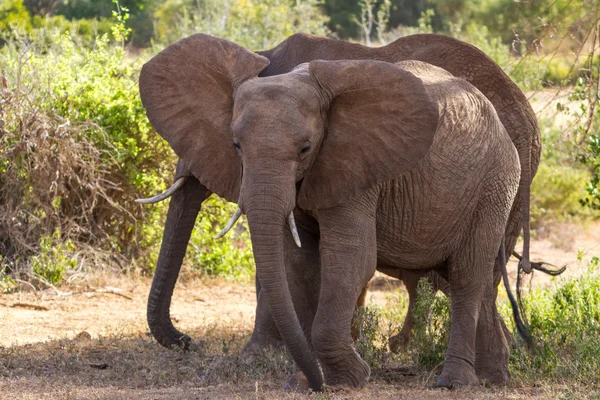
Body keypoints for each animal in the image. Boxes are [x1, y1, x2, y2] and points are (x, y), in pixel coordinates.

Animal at [138, 33, 524, 390]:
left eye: (306, 148)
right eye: (236, 145)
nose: (188, 341)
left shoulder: (358, 165)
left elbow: (351, 257)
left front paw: (349, 378)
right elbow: (298, 262)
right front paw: (303, 382)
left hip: (496, 182)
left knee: (467, 274)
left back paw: (454, 381)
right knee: (475, 280)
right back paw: (493, 376)